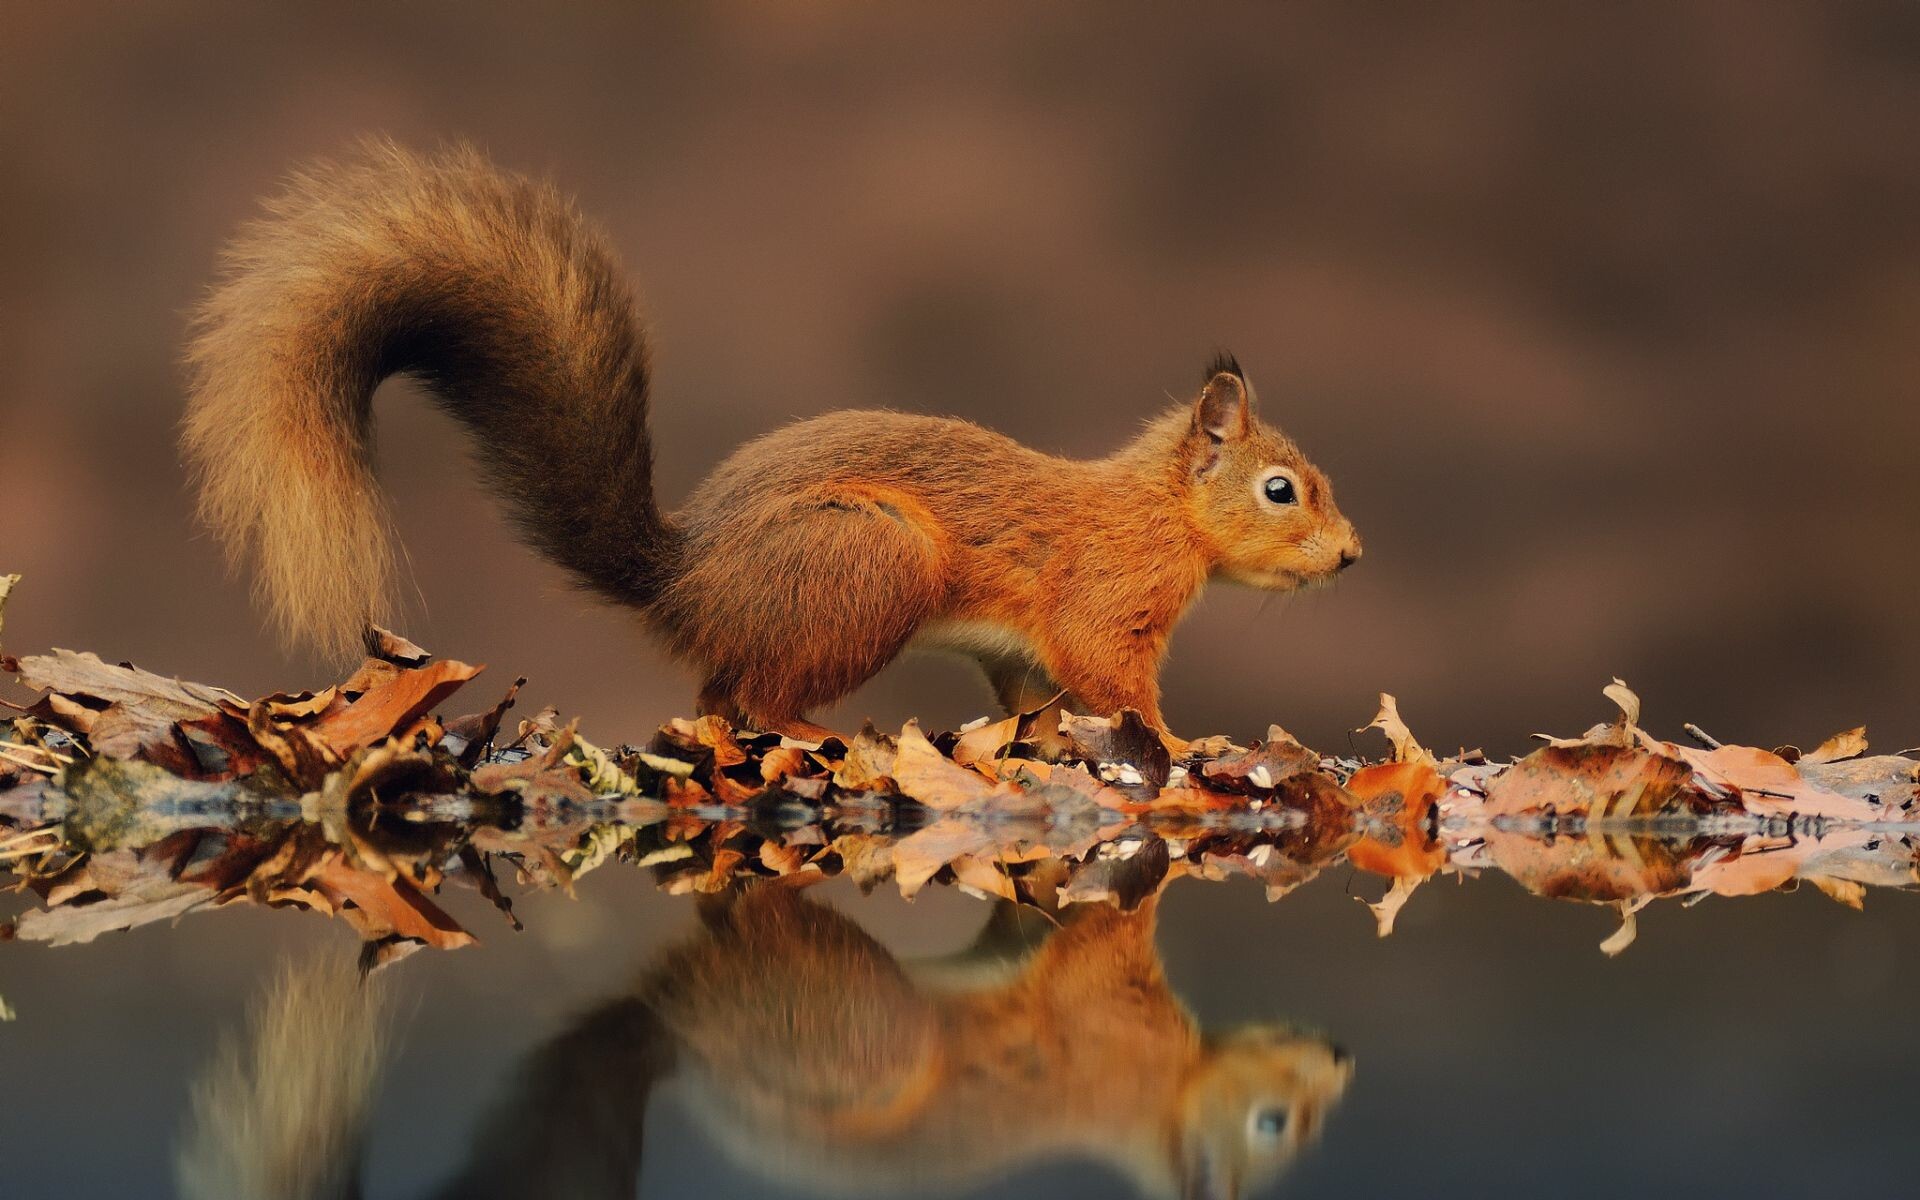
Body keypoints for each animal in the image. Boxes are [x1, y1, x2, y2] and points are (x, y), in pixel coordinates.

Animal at [176, 140, 1351, 741]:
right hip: (869, 563)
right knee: (761, 700)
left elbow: (1040, 700)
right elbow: (1115, 679)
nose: (1351, 557)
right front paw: (1184, 747)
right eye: (1282, 489)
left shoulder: (1026, 654)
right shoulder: (1105, 599)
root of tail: (688, 581)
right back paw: (816, 742)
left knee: (718, 699)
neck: (1160, 512)